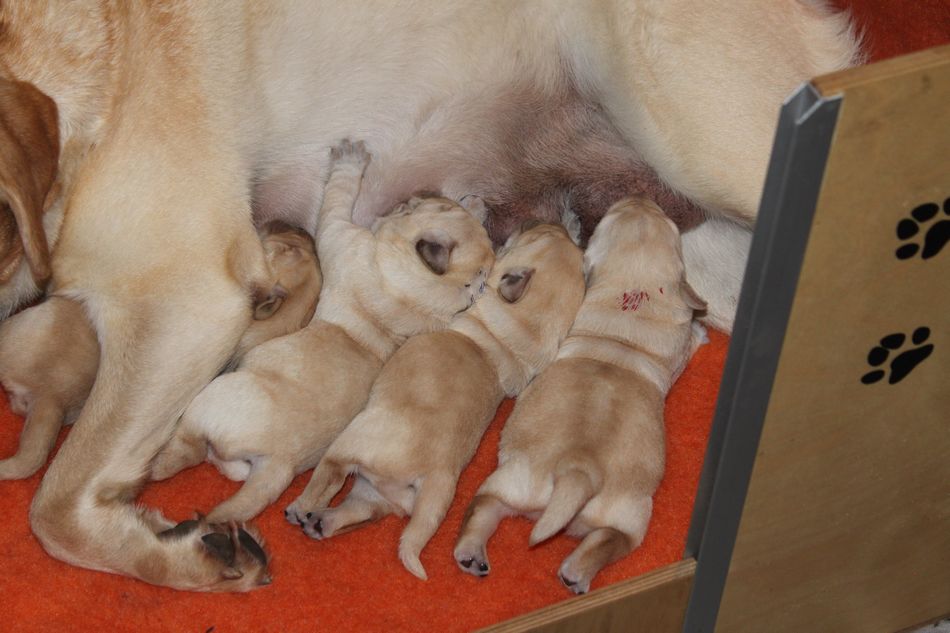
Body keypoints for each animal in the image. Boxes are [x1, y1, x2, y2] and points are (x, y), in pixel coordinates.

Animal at [151, 140, 495, 527]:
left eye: (414, 207)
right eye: (441, 205)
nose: (419, 192)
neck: (408, 294)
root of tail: (280, 463)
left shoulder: (337, 231)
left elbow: (338, 195)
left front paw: (350, 158)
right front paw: (477, 206)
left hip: (207, 403)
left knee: (182, 453)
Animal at [286, 219, 586, 580]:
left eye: (537, 236)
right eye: (548, 235)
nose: (547, 221)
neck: (521, 329)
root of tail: (431, 475)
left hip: (349, 445)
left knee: (328, 480)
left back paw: (302, 509)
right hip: (379, 492)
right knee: (360, 510)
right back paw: (322, 523)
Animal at [454, 197, 706, 594]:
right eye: (615, 215)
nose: (639, 198)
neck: (633, 293)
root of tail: (579, 471)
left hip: (510, 481)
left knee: (483, 508)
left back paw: (472, 554)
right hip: (628, 513)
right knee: (609, 540)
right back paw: (574, 573)